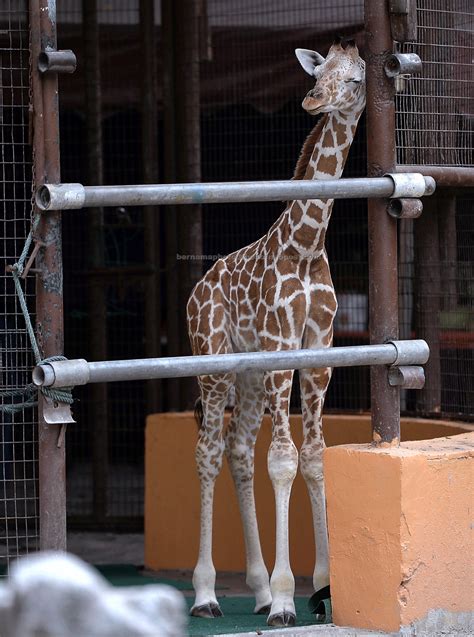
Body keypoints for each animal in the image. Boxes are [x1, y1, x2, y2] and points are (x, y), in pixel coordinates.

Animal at [187, 37, 364, 624]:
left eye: (356, 78)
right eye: (319, 72)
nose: (312, 101)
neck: (306, 245)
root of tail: (196, 290)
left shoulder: (321, 352)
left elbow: (313, 457)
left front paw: (323, 588)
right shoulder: (282, 348)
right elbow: (284, 460)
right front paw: (290, 597)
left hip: (245, 374)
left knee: (239, 450)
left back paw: (259, 590)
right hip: (213, 363)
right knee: (209, 451)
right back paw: (207, 594)